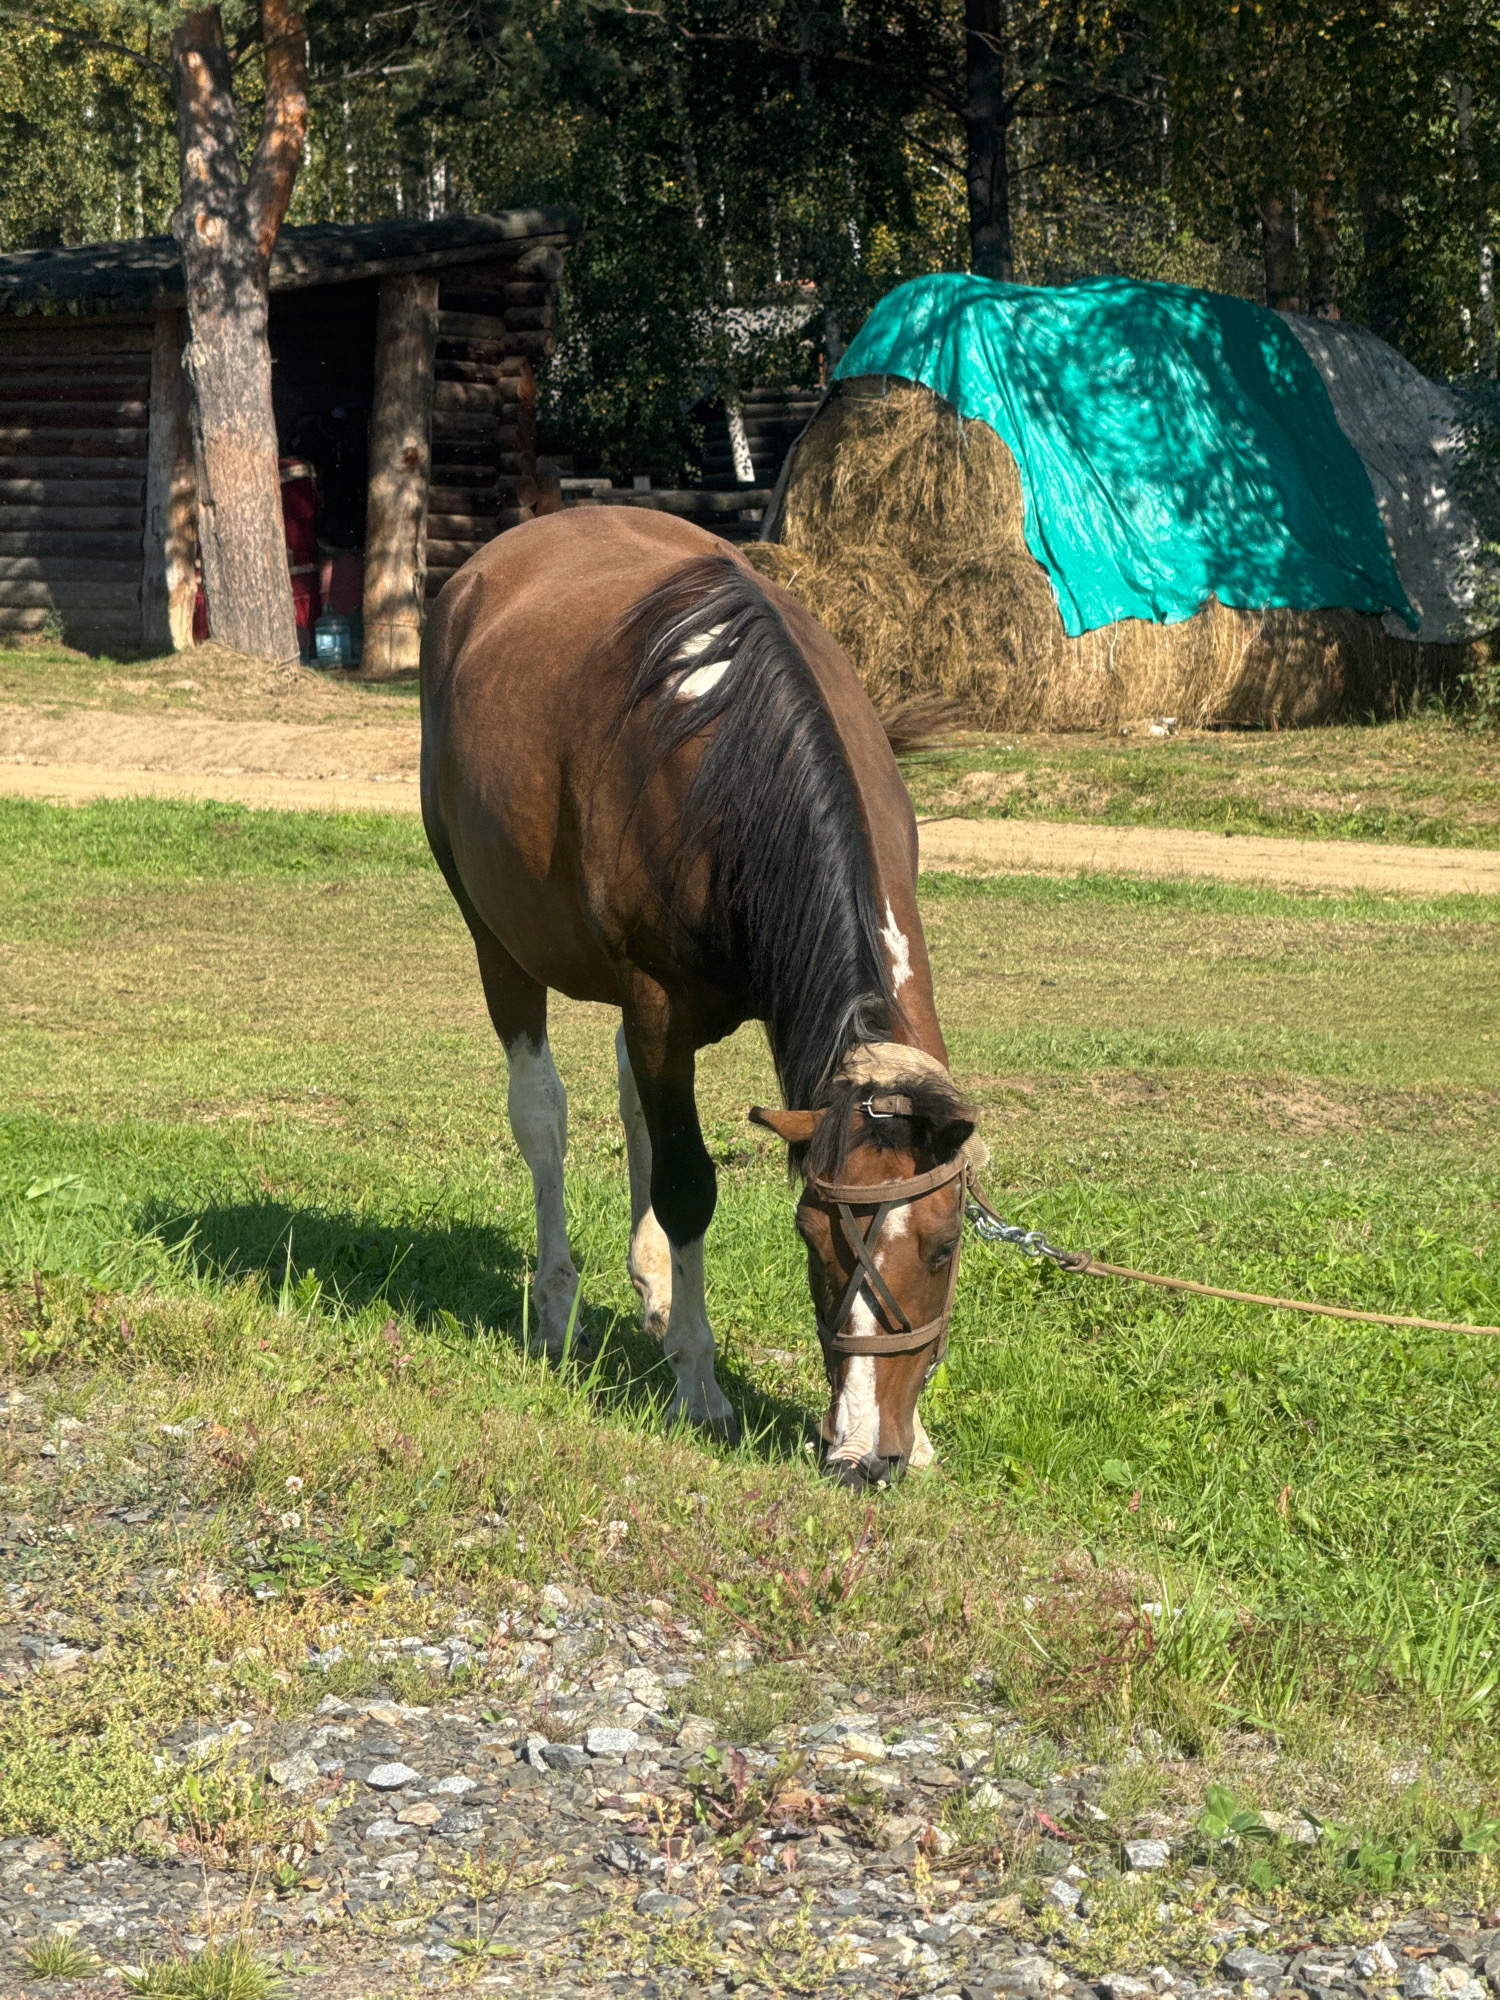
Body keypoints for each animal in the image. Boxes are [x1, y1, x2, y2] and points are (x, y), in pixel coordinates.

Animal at [420, 507, 979, 1487]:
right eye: (810, 1238)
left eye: (944, 1246)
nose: (862, 1453)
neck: (735, 763)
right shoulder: (656, 1003)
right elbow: (686, 1184)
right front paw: (698, 1382)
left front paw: (921, 1437)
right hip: (497, 940)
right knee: (543, 1117)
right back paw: (556, 1306)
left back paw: (650, 1284)